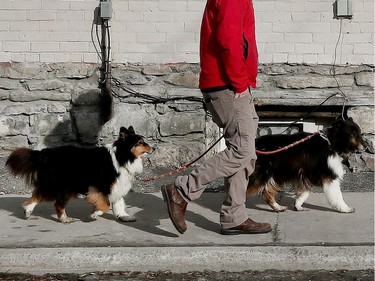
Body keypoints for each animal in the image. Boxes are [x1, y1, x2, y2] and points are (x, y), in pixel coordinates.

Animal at [5, 126, 153, 222]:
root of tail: (45, 153)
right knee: (56, 203)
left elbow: (118, 202)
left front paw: (123, 216)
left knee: (39, 196)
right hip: (63, 186)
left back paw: (28, 212)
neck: (122, 156)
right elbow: (105, 205)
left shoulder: (117, 185)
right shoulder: (101, 186)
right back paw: (65, 219)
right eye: (140, 142)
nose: (154, 148)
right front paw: (94, 214)